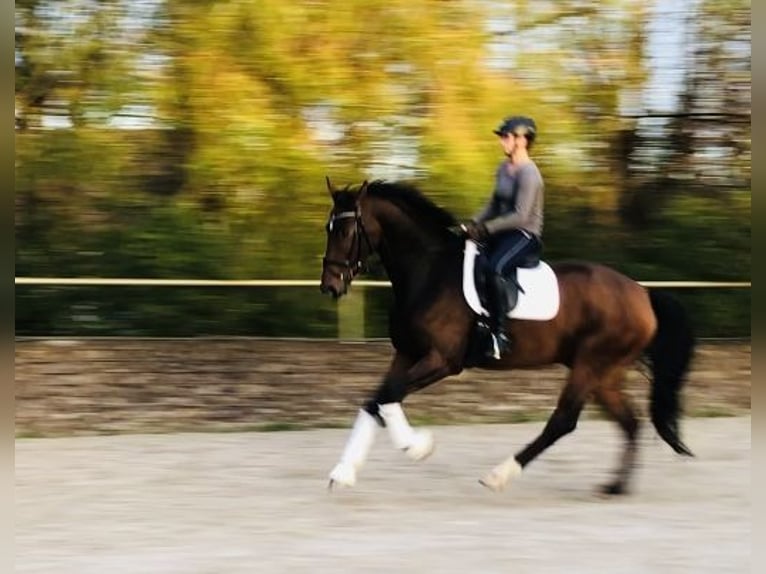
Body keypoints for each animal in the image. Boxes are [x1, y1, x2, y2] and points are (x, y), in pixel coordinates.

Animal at [318, 179, 696, 496]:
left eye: (347, 230)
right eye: (328, 227)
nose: (330, 286)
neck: (428, 273)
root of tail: (643, 293)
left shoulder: (442, 360)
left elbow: (387, 397)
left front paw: (418, 447)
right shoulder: (408, 354)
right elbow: (375, 400)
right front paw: (343, 473)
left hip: (591, 364)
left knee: (563, 421)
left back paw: (499, 475)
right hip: (605, 373)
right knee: (629, 422)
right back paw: (615, 486)